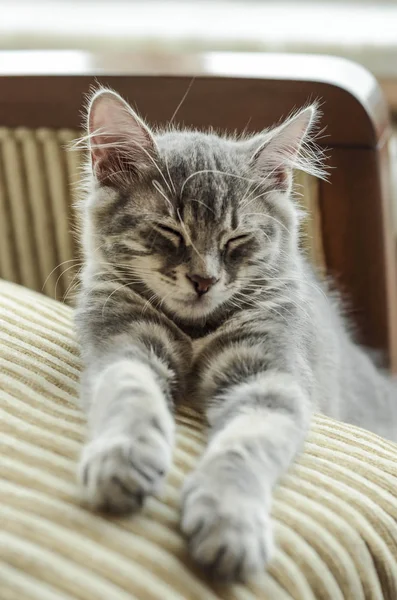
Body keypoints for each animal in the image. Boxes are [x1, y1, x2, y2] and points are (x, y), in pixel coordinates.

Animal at [75, 88, 396, 580]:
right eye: (169, 230)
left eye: (237, 238)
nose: (203, 281)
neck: (194, 330)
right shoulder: (123, 345)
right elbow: (131, 397)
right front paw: (122, 458)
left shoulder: (269, 377)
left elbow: (242, 448)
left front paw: (229, 521)